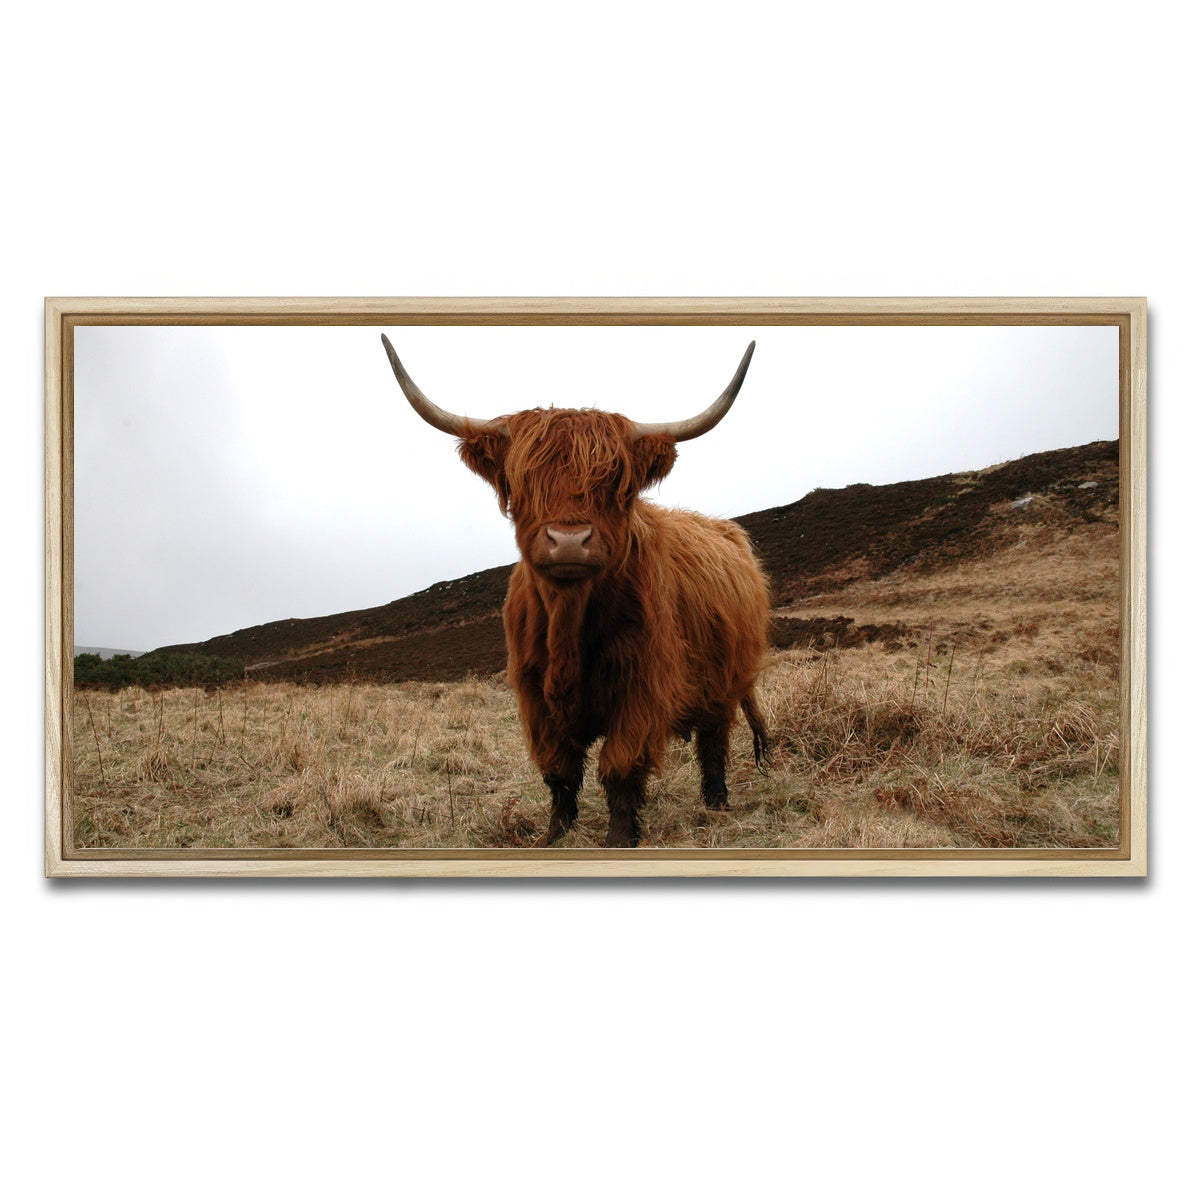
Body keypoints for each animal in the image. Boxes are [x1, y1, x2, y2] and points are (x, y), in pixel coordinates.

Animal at [382, 335, 770, 848]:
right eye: (524, 480)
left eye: (614, 483)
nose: (568, 540)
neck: (568, 624)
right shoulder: (533, 696)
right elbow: (559, 770)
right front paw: (553, 834)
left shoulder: (642, 689)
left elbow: (620, 767)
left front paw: (620, 837)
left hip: (726, 683)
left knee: (714, 742)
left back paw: (718, 803)